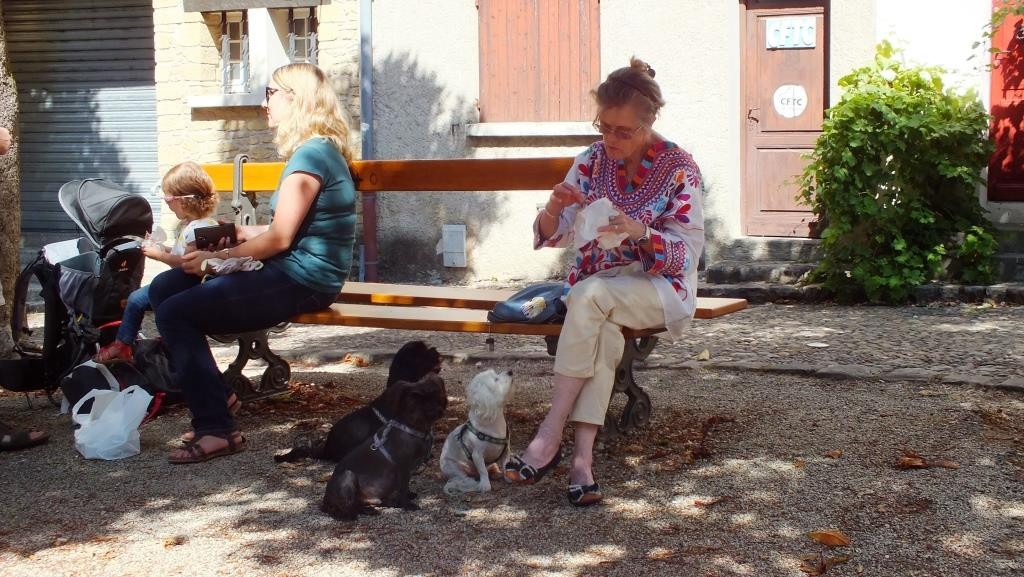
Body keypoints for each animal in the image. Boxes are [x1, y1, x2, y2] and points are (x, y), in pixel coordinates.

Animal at [319, 373, 448, 520]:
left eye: (434, 395)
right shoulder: (403, 467)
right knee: (346, 508)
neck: (416, 428)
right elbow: (403, 488)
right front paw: (406, 504)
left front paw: (407, 497)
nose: (432, 411)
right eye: (414, 398)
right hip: (348, 476)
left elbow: (404, 487)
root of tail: (325, 501)